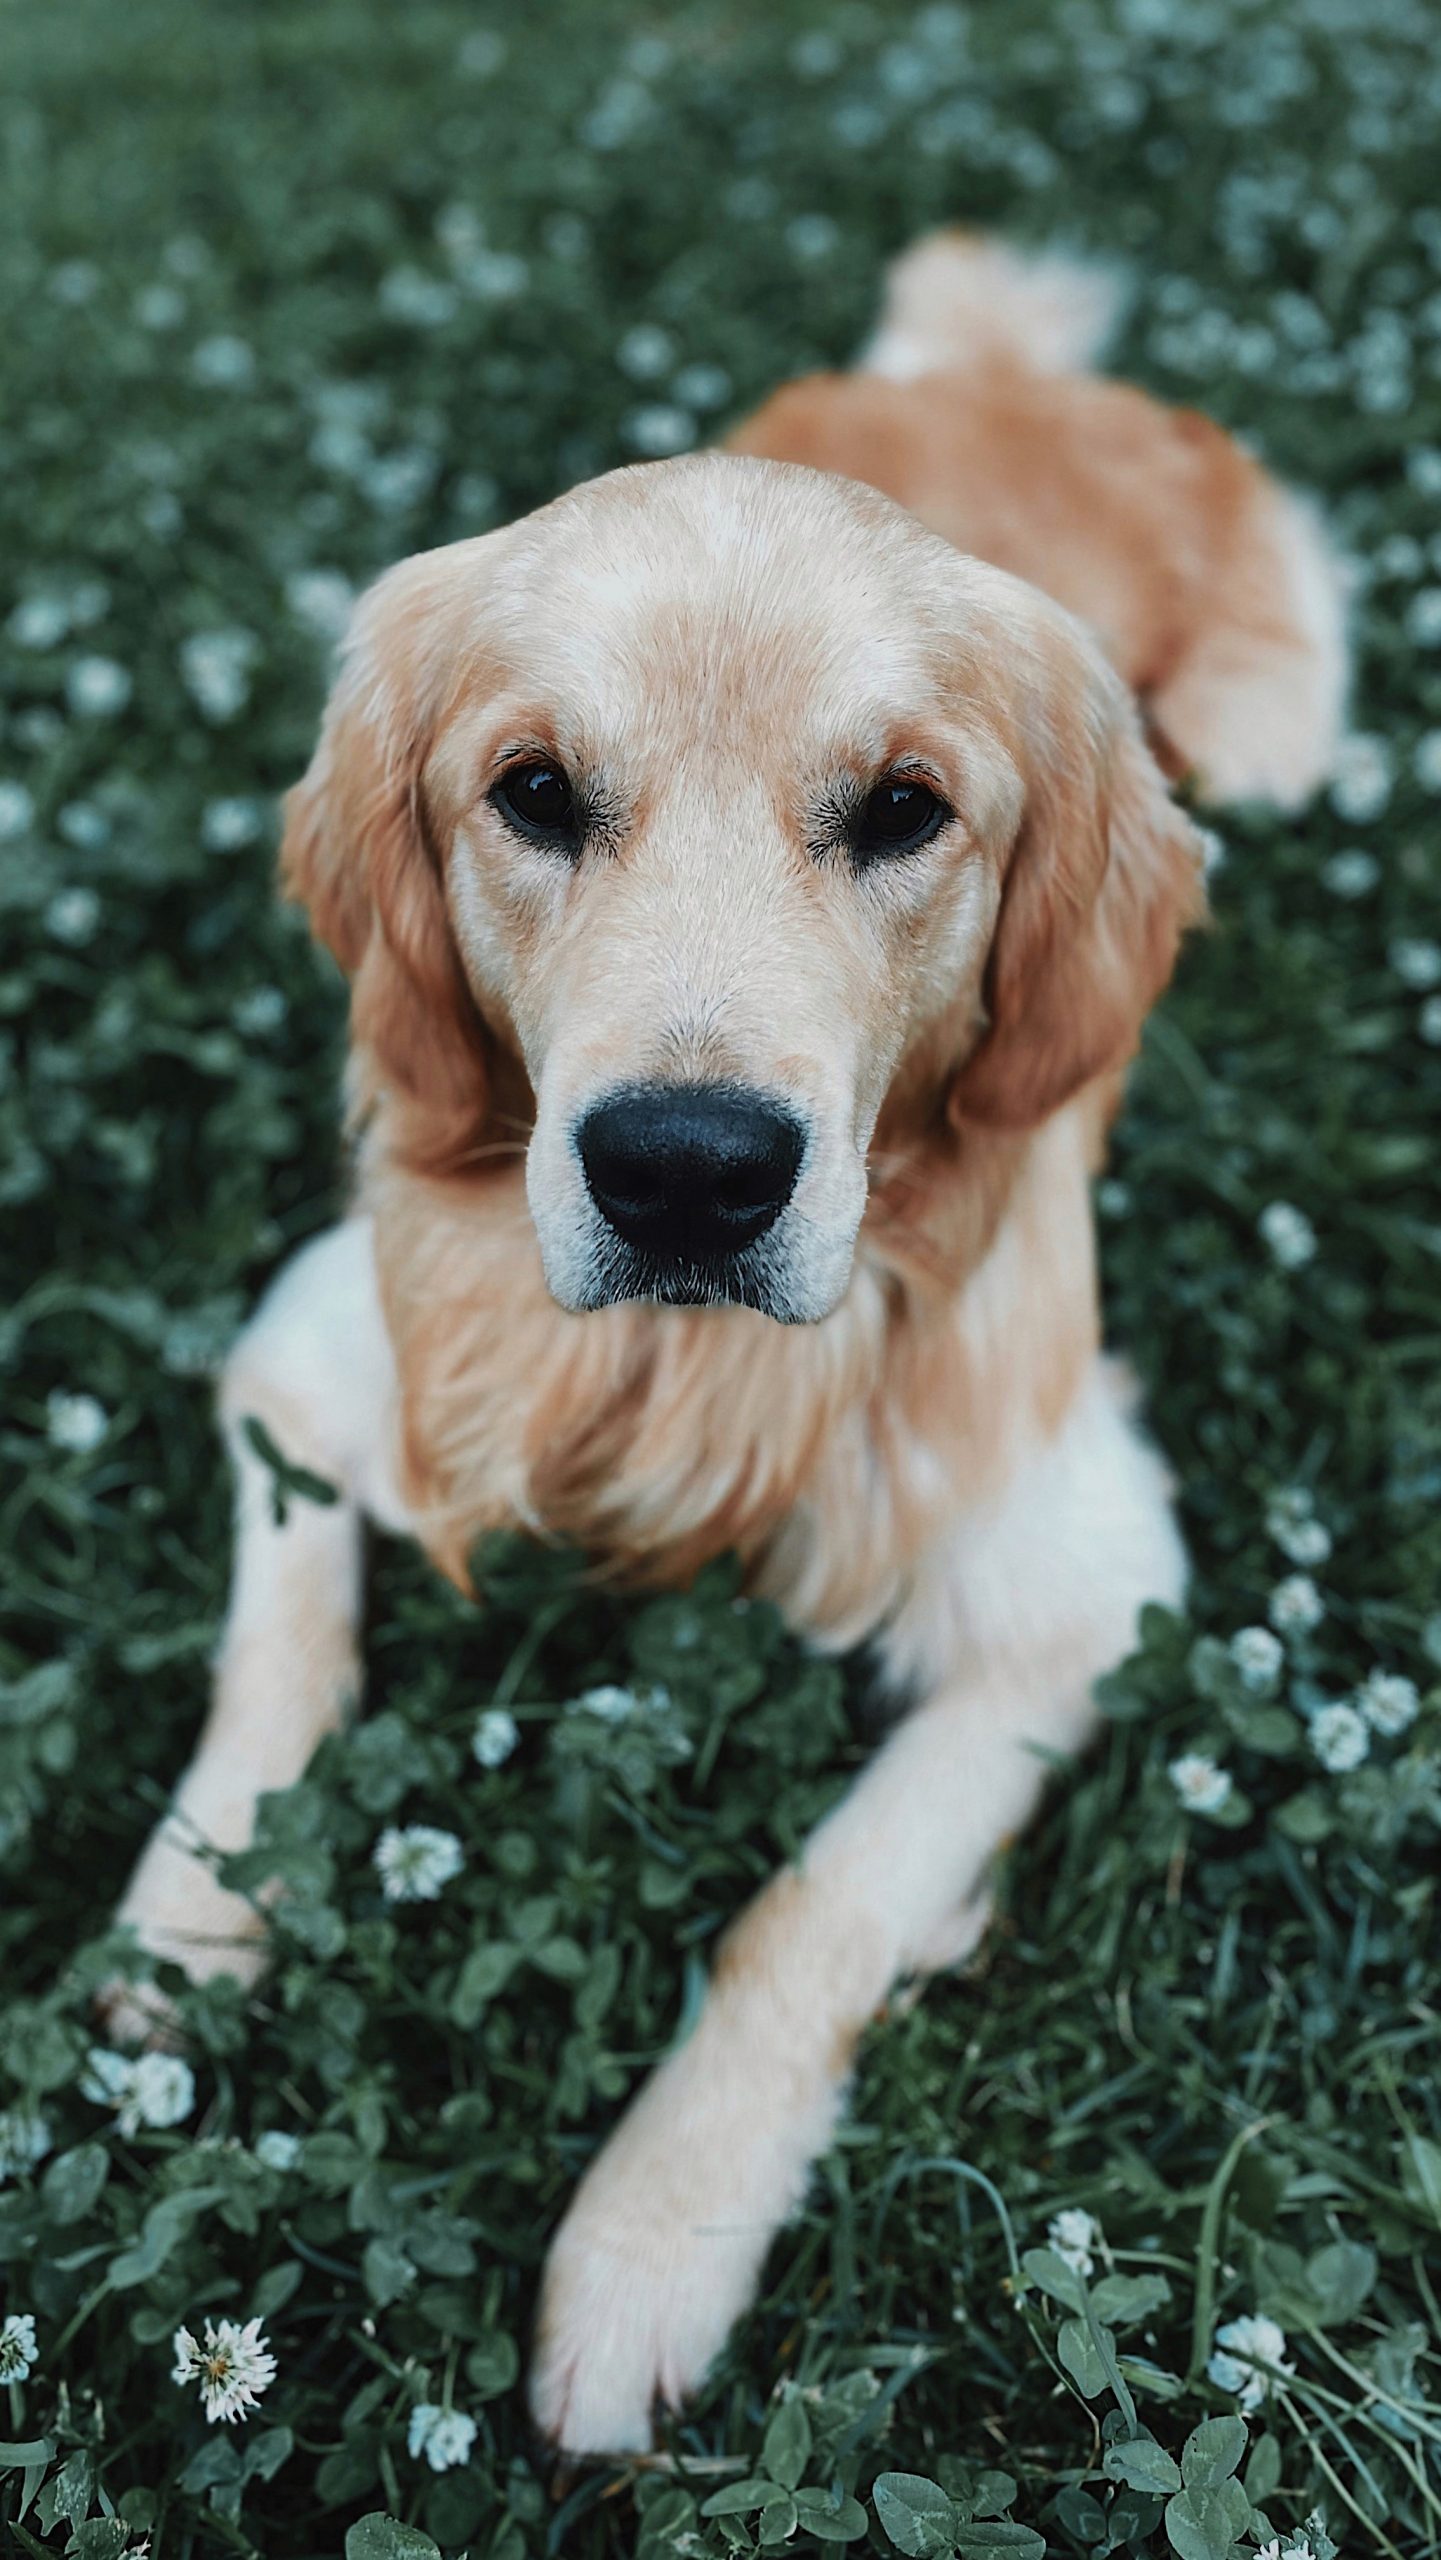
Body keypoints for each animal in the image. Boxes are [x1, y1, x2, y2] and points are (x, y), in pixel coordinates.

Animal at [112, 235, 1351, 2437]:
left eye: (903, 810)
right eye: (530, 792)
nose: (686, 1172)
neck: (672, 1379)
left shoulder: (1082, 1580)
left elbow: (810, 1902)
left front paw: (648, 2243)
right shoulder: (319, 1348)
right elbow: (275, 1654)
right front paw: (191, 1915)